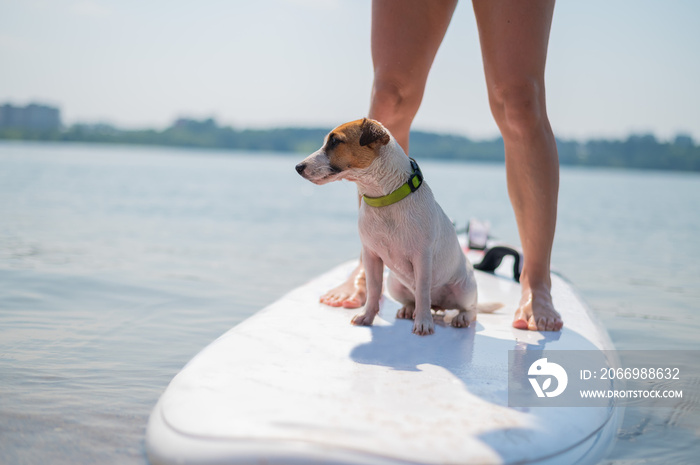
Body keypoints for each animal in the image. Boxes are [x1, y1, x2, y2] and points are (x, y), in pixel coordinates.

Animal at [296, 116, 498, 334]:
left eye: (335, 141)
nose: (298, 167)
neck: (385, 200)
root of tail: (439, 306)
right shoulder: (371, 256)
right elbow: (374, 289)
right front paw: (367, 316)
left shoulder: (422, 258)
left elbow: (423, 291)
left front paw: (424, 323)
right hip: (395, 284)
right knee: (412, 300)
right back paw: (409, 310)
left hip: (464, 289)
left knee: (470, 308)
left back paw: (459, 317)